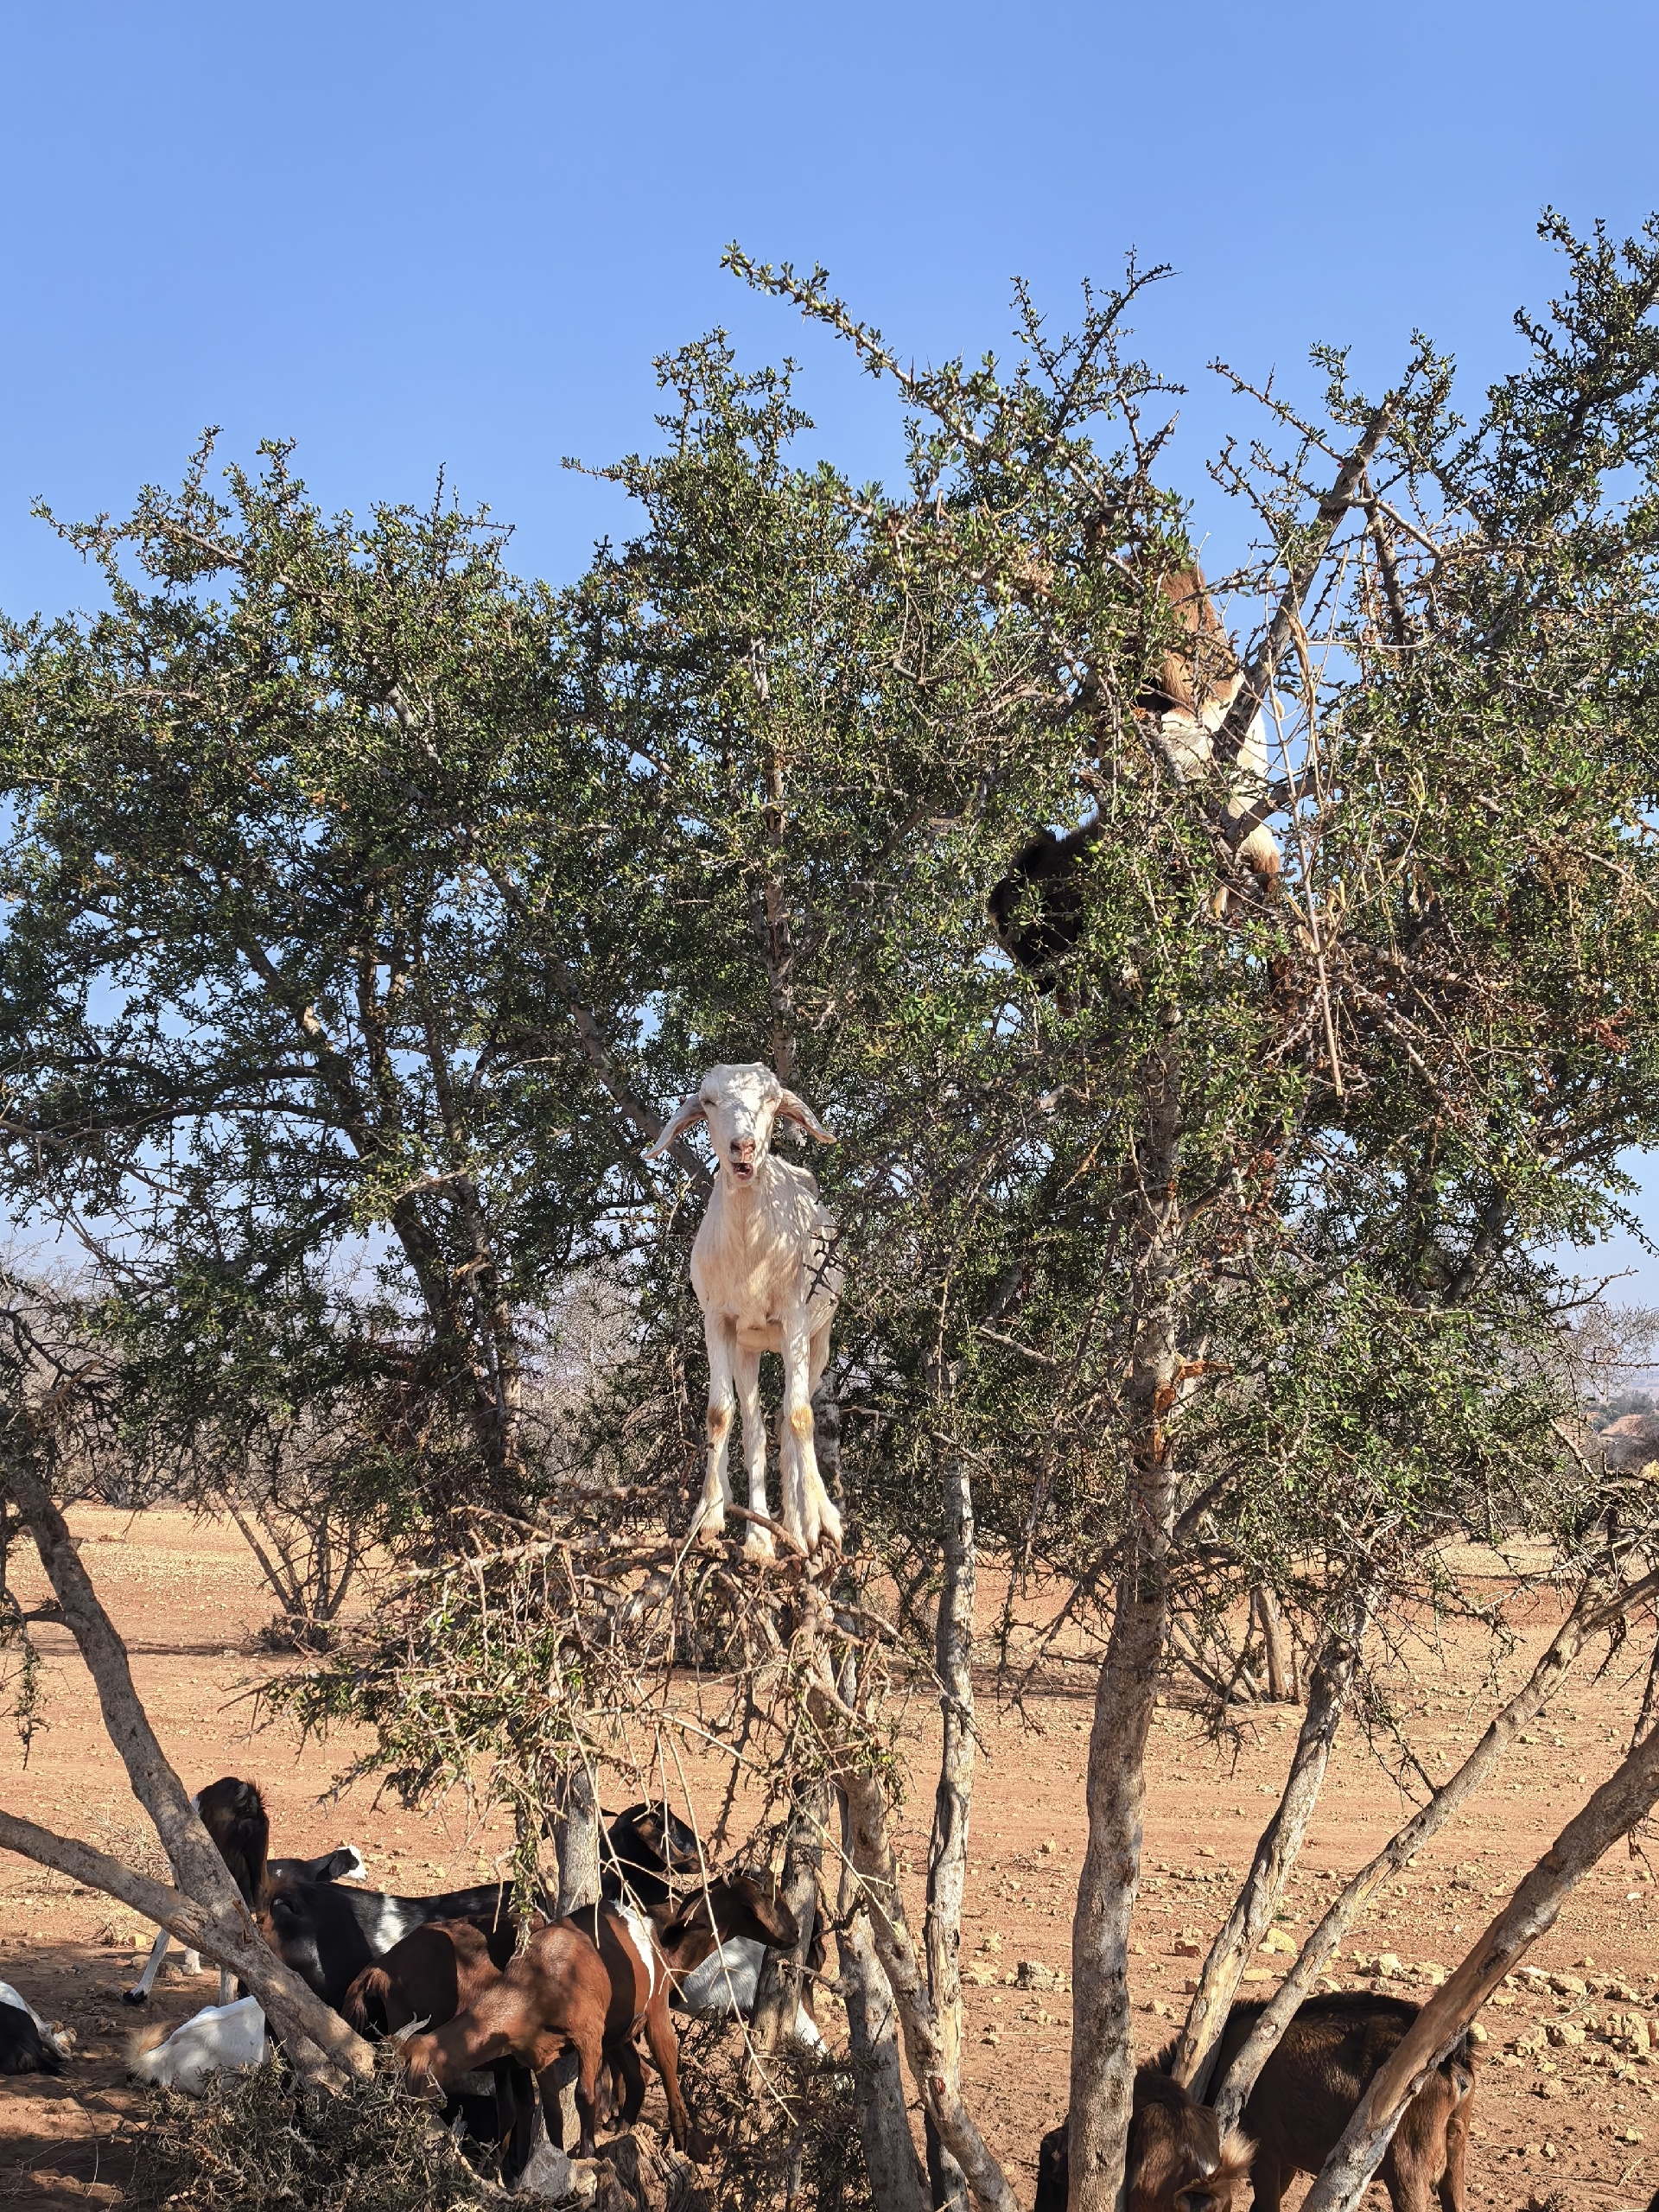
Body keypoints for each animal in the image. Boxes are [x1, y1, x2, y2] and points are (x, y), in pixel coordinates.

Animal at [648, 1062, 843, 1562]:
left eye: (772, 1099)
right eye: (709, 1101)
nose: (744, 1147)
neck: (751, 1253)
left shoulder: (795, 1319)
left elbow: (800, 1416)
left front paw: (824, 1523)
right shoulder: (718, 1321)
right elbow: (719, 1414)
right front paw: (709, 1518)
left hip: (819, 1338)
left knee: (791, 1420)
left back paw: (803, 1524)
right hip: (749, 1347)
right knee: (758, 1429)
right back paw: (763, 1536)